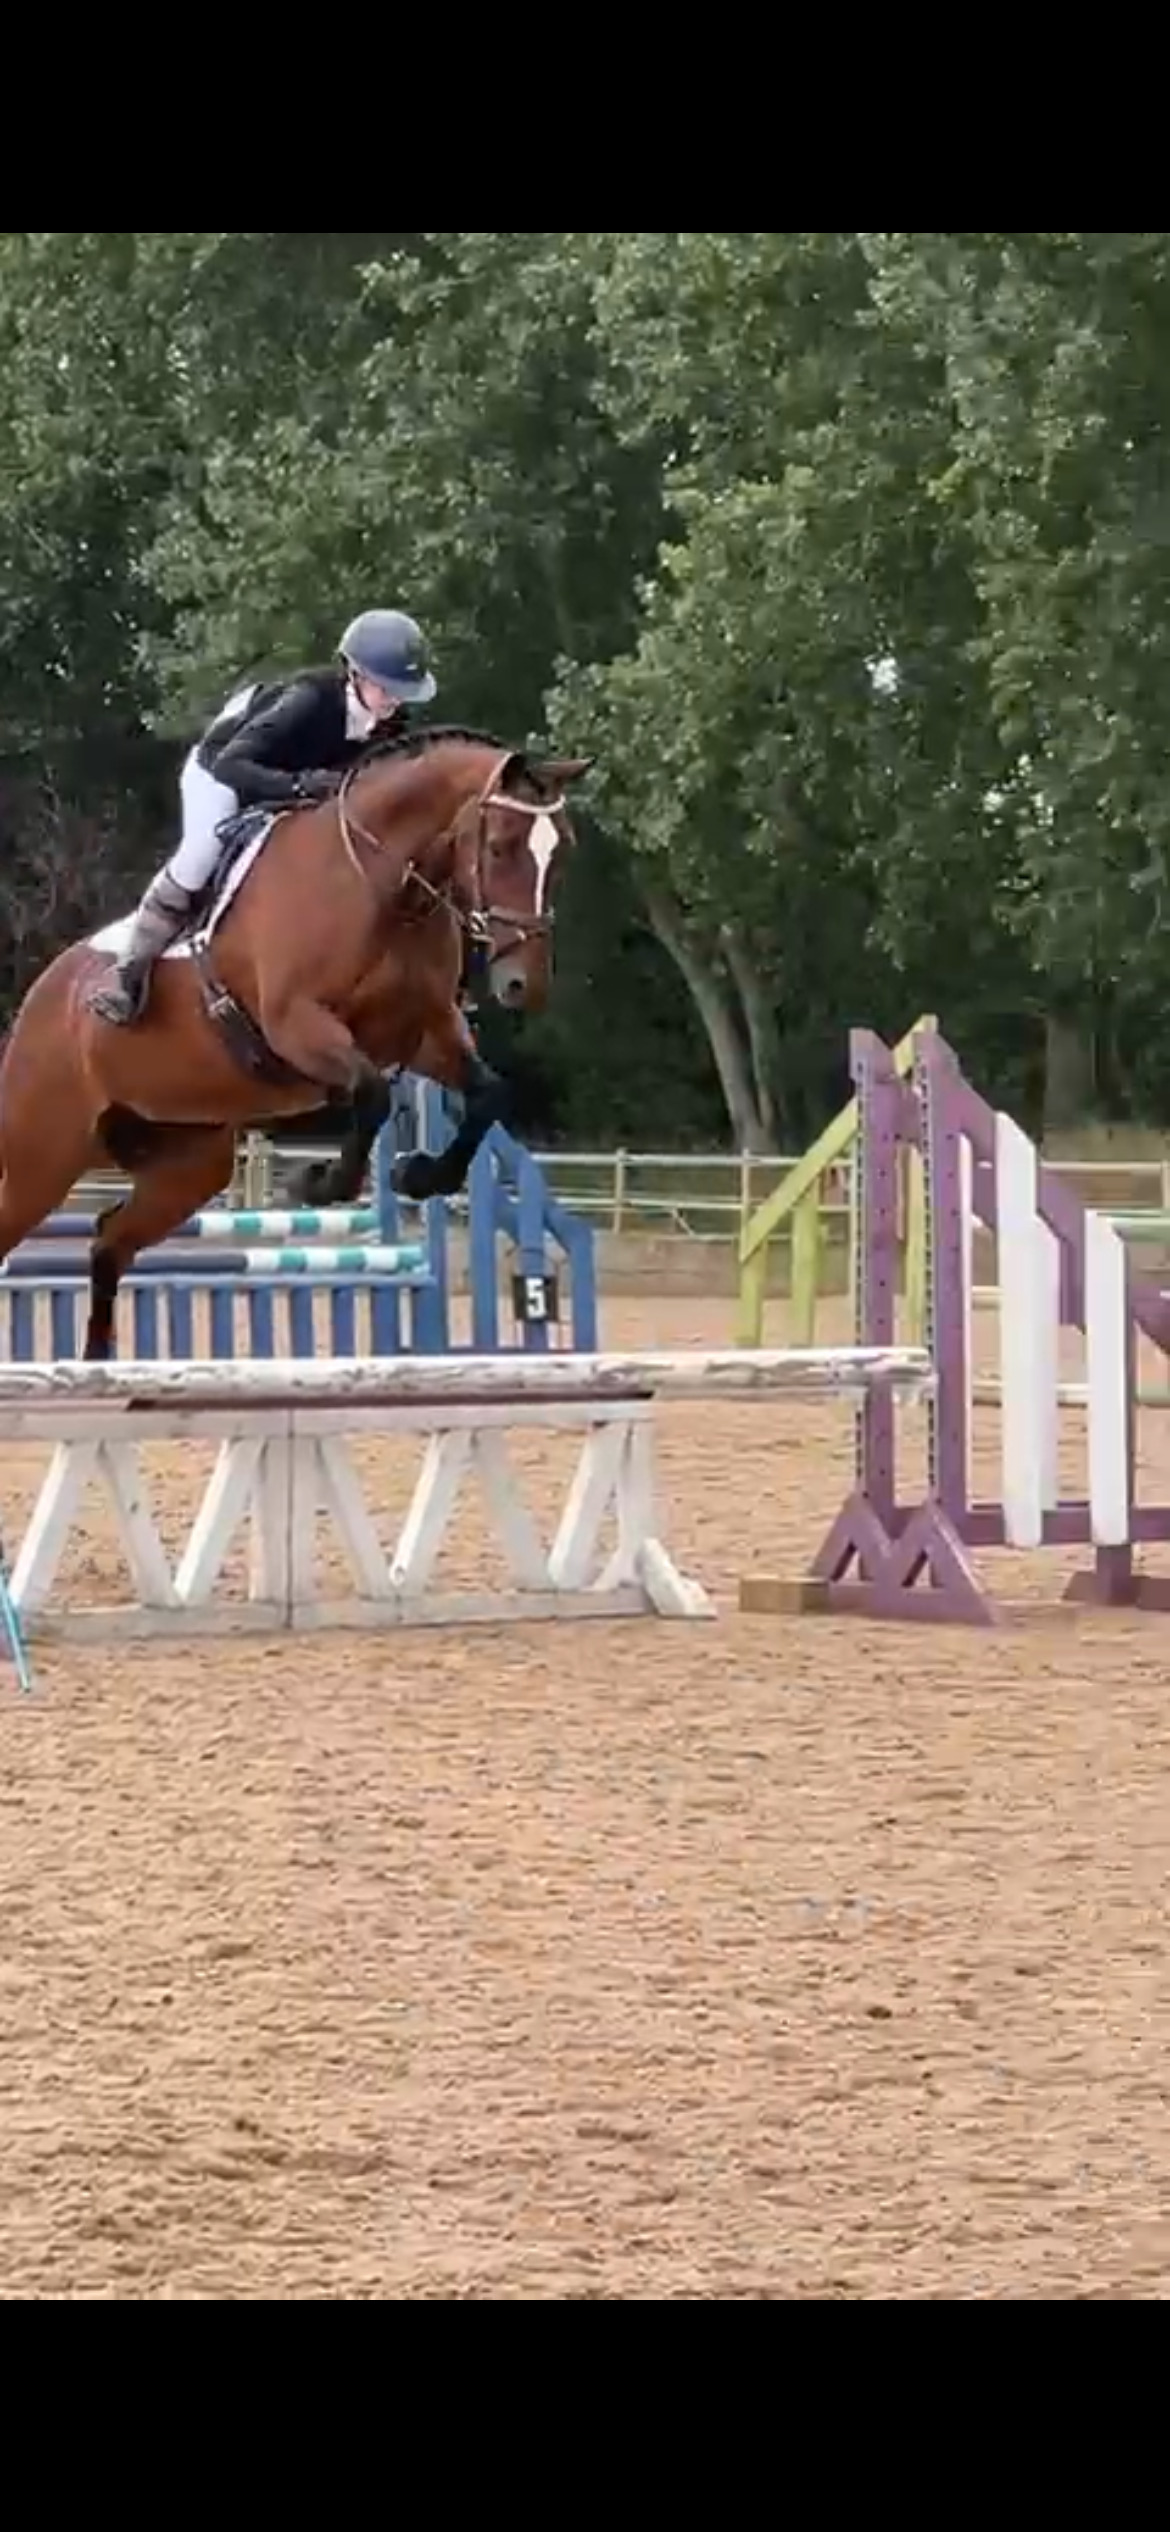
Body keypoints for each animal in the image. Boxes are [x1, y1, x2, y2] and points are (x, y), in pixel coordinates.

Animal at [0, 724, 591, 1358]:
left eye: (562, 851)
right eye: (501, 846)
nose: (523, 985)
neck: (382, 885)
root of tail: (43, 994)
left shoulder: (427, 1032)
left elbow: (486, 1095)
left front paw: (419, 1176)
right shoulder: (297, 1026)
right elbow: (372, 1095)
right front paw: (317, 1181)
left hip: (188, 1163)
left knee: (110, 1240)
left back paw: (98, 1366)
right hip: (41, 1155)